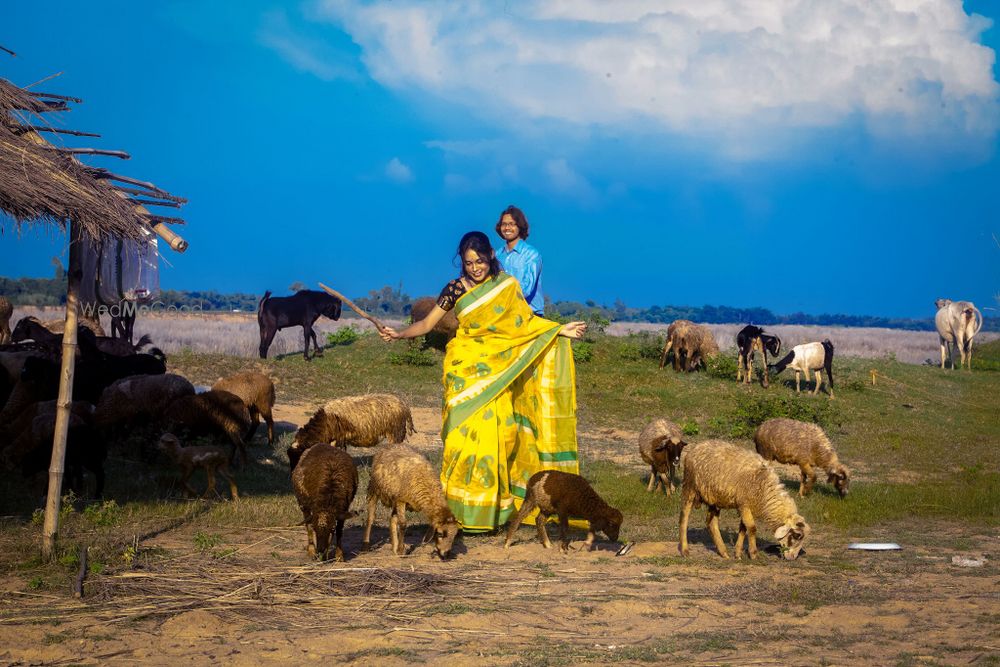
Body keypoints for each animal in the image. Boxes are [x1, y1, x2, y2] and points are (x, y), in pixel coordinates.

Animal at [676, 440, 808, 560]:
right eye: (797, 535)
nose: (793, 558)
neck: (765, 490)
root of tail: (695, 447)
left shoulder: (745, 505)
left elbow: (743, 528)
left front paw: (738, 553)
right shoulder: (743, 504)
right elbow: (752, 528)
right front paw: (753, 554)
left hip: (715, 498)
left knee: (711, 522)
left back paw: (723, 552)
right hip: (690, 486)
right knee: (684, 517)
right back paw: (685, 550)